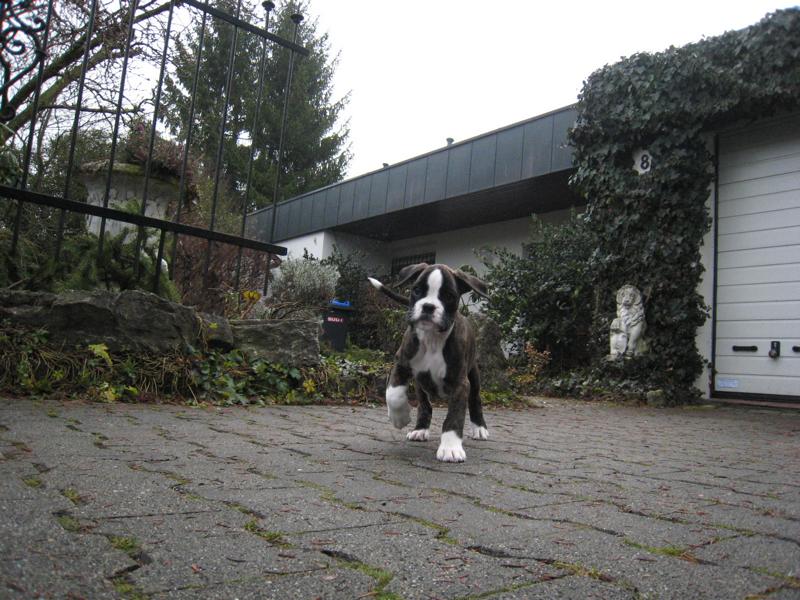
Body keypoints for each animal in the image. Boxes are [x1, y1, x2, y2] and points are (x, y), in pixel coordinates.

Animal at [368, 263, 489, 462]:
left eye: (449, 296)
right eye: (417, 290)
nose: (428, 306)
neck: (432, 339)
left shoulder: (460, 383)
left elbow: (454, 416)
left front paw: (450, 448)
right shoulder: (401, 364)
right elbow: (393, 394)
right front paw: (400, 418)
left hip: (474, 375)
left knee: (475, 400)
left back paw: (479, 428)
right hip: (420, 385)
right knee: (425, 405)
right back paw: (420, 430)